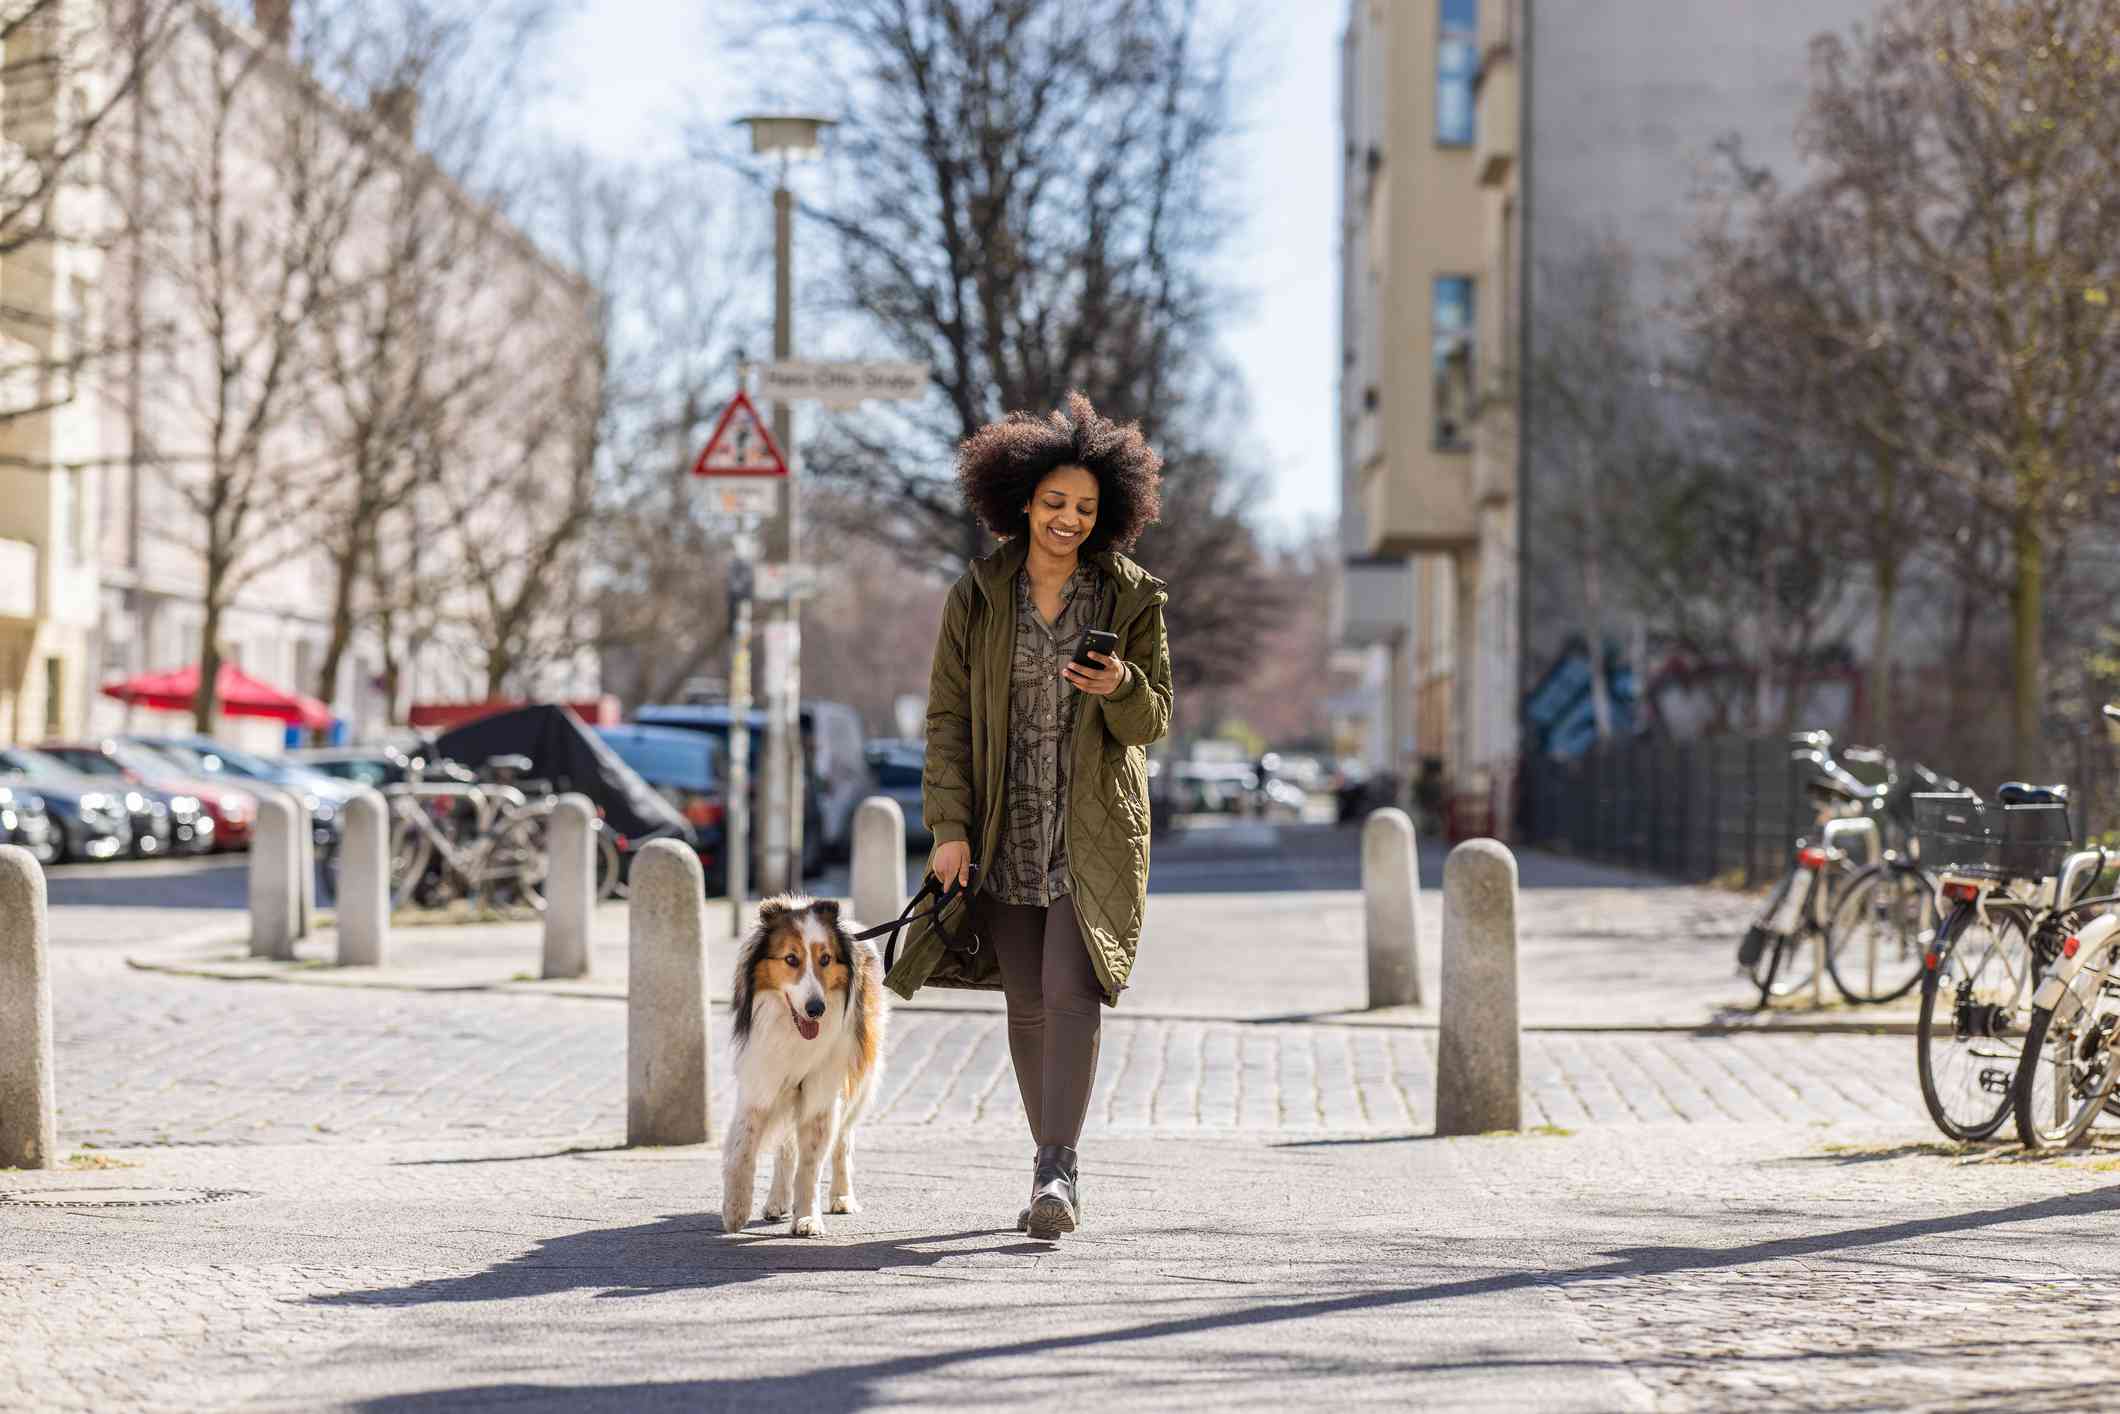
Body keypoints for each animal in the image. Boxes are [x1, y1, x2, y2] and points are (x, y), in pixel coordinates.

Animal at [712, 894, 877, 1238]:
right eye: (791, 959)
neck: (792, 1033)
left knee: (843, 1142)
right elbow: (743, 1151)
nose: (816, 1009)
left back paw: (842, 1196)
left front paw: (807, 1218)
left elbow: (810, 1166)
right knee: (785, 1148)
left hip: (858, 1083)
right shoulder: (759, 1084)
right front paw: (735, 1209)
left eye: (825, 959)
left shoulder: (821, 1096)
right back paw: (777, 1201)